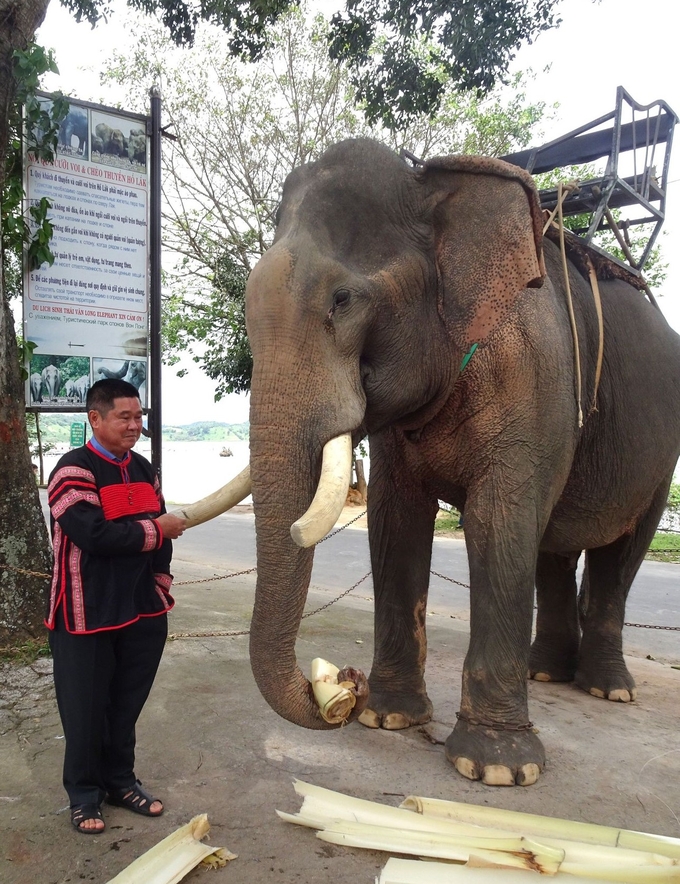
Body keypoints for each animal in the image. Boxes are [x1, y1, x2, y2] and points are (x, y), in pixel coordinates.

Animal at [179, 138, 680, 788]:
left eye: (343, 299)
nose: (346, 687)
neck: (434, 188)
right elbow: (396, 521)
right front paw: (388, 719)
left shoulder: (533, 377)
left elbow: (498, 524)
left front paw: (497, 768)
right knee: (554, 546)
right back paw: (547, 674)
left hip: (660, 454)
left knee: (620, 550)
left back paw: (607, 689)